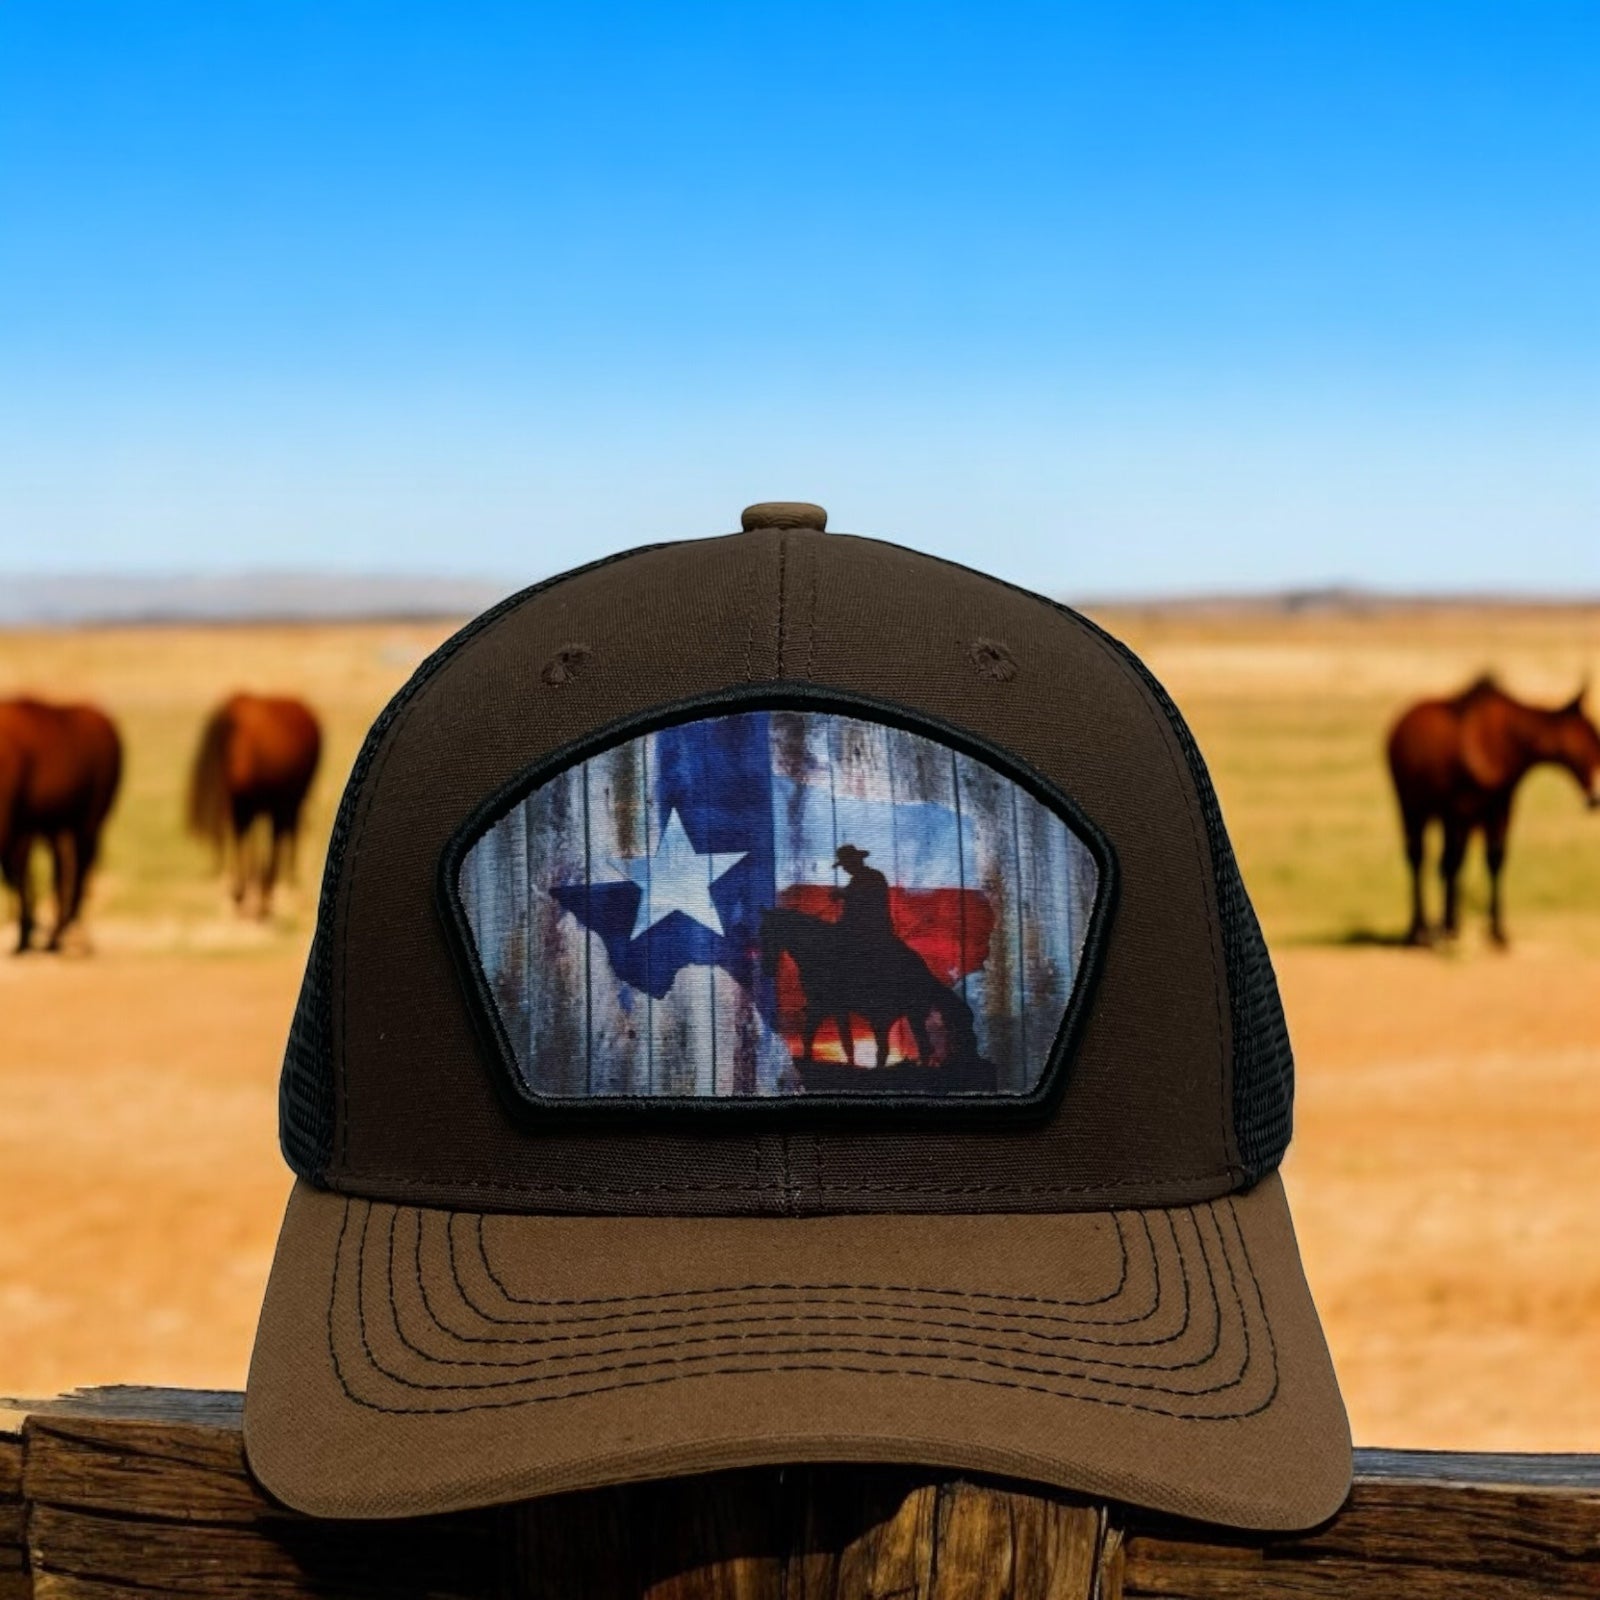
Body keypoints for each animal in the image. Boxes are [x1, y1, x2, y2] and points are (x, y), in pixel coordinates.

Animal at [0, 697, 123, 947]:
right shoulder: (29, 830)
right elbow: (19, 875)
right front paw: (25, 933)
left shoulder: (23, 829)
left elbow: (20, 874)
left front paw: (26, 934)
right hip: (63, 829)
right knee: (65, 870)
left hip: (89, 823)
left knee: (79, 870)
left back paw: (69, 932)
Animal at [187, 697, 321, 921]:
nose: (232, 893)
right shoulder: (246, 805)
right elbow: (248, 841)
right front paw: (248, 894)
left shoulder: (262, 804)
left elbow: (260, 842)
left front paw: (259, 896)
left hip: (289, 800)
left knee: (287, 833)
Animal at [1388, 668, 1600, 940]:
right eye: (1588, 740)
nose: (1595, 796)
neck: (1504, 741)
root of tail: (1399, 725)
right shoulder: (1461, 811)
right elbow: (1455, 862)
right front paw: (1450, 926)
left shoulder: (1500, 809)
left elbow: (1494, 860)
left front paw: (1496, 931)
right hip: (1411, 807)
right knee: (1417, 857)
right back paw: (1419, 929)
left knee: (1441, 861)